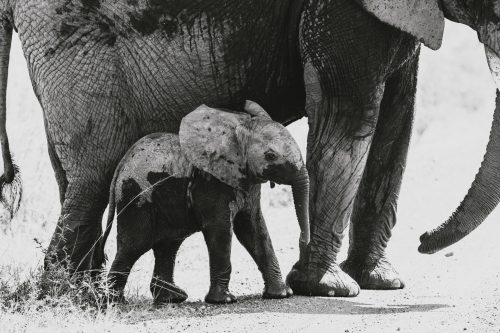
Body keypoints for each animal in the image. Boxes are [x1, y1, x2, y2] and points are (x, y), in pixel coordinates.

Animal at [100, 101, 310, 304]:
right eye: (270, 156)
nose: (303, 241)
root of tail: (121, 165)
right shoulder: (210, 181)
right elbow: (220, 229)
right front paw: (224, 300)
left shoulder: (246, 182)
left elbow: (254, 228)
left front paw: (281, 294)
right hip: (135, 195)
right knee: (133, 246)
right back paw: (115, 301)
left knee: (168, 245)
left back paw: (172, 298)